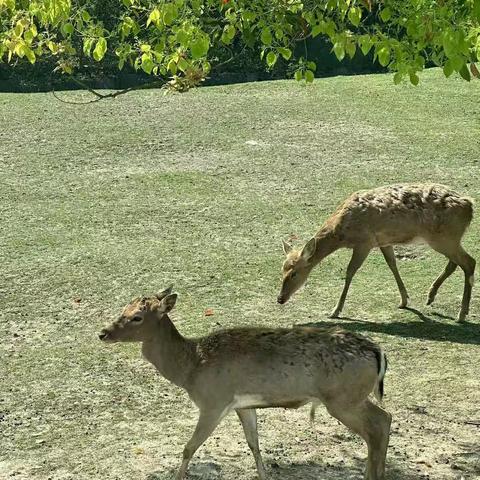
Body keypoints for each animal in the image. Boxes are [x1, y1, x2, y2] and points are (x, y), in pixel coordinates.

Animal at [99, 286, 392, 478]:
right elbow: (254, 444)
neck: (191, 368)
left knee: (378, 425)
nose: (103, 333)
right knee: (384, 420)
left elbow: (189, 447)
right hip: (350, 398)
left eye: (137, 316)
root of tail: (377, 351)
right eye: (123, 308)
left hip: (343, 399)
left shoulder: (213, 402)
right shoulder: (243, 405)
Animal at [278, 184, 476, 322]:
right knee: (455, 263)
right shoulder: (383, 241)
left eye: (294, 273)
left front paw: (335, 311)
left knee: (469, 262)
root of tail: (470, 206)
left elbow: (350, 272)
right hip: (449, 239)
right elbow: (392, 264)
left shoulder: (364, 242)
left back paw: (461, 313)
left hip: (443, 238)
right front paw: (404, 300)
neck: (342, 232)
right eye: (282, 270)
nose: (280, 298)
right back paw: (431, 296)